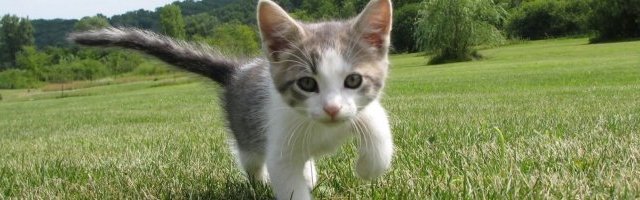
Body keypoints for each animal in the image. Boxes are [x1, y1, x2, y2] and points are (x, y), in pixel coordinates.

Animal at [69, 0, 390, 199]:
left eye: (353, 81)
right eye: (307, 83)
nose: (332, 109)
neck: (324, 129)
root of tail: (237, 70)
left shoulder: (362, 108)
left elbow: (377, 128)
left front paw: (368, 167)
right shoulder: (279, 143)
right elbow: (287, 180)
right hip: (246, 137)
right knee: (252, 162)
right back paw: (263, 182)